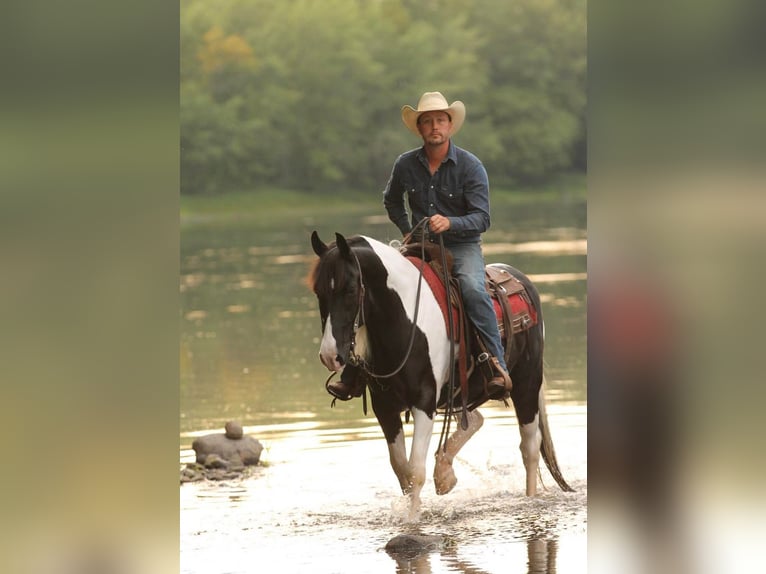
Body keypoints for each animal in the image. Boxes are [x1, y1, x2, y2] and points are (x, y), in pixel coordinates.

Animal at [308, 232, 572, 520]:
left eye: (349, 290)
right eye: (319, 291)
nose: (329, 355)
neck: (404, 321)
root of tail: (520, 280)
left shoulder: (424, 401)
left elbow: (415, 470)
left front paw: (412, 520)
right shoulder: (384, 407)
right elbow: (401, 469)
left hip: (527, 383)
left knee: (530, 448)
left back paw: (529, 498)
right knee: (475, 419)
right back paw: (445, 473)